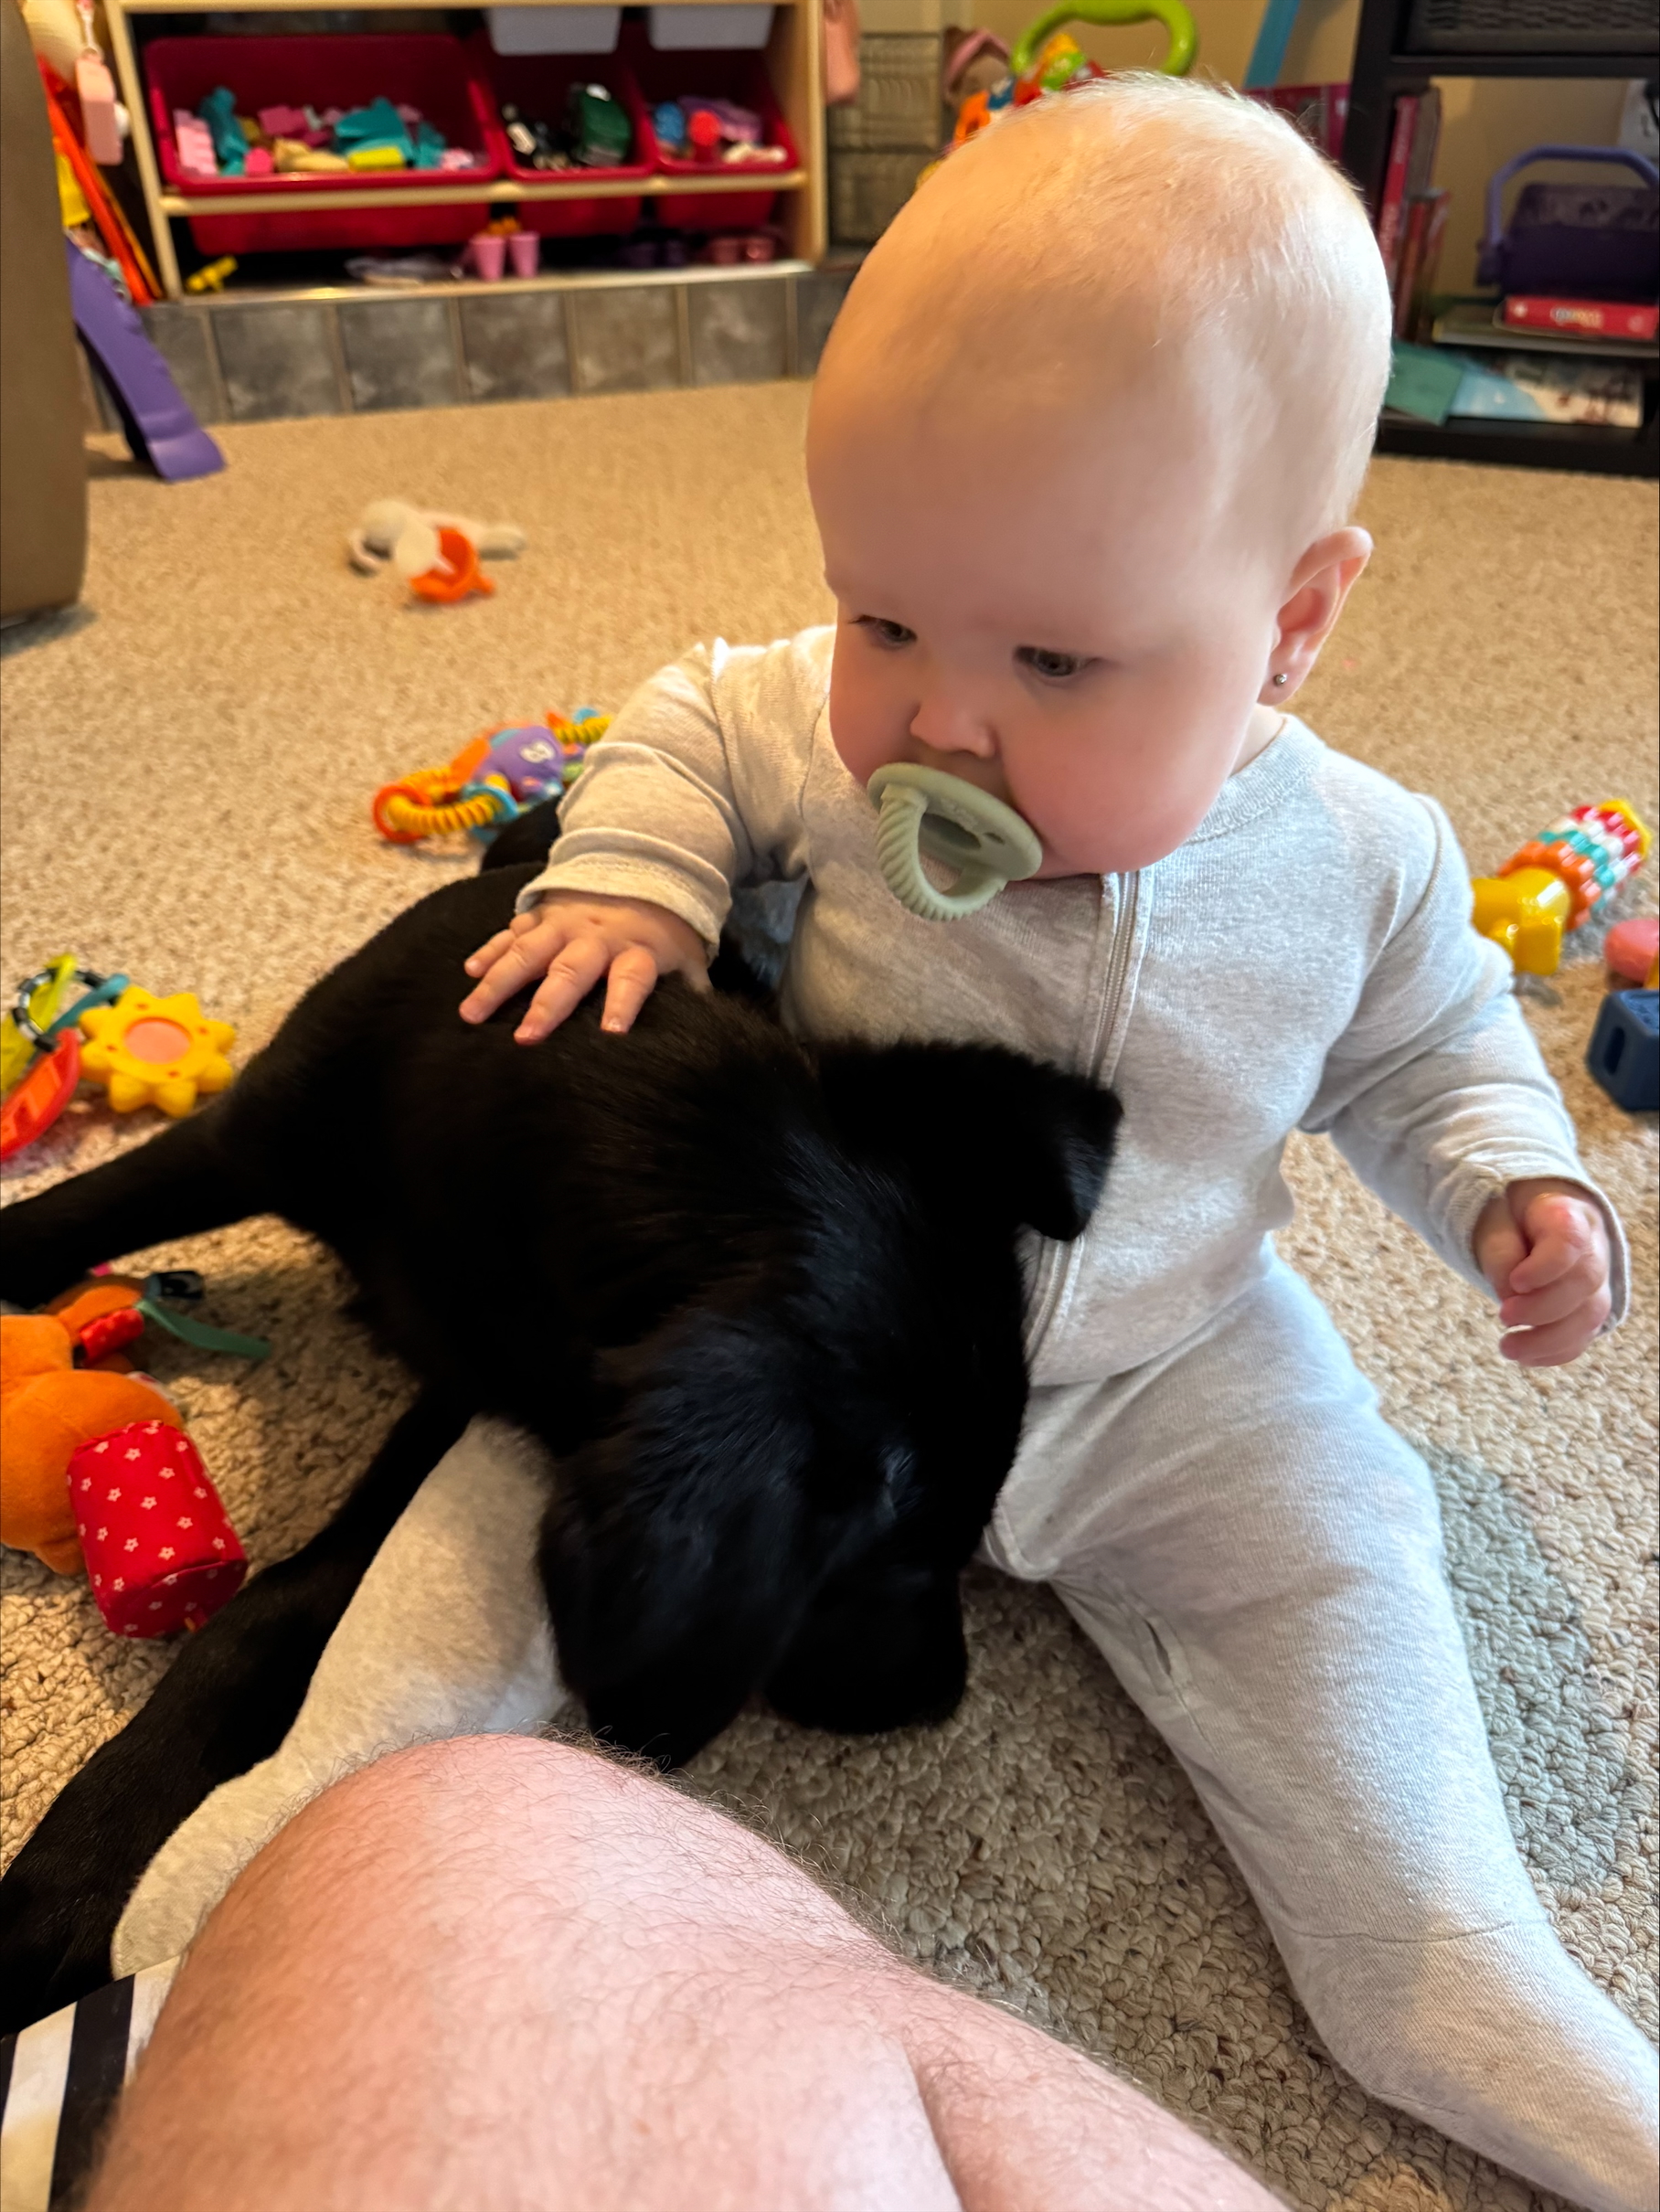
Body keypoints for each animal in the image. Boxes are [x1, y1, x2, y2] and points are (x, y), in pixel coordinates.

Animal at [0, 807, 1119, 2026]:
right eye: (896, 1555)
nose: (941, 1695)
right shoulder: (250, 1141)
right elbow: (65, 1212)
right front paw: (75, 1868)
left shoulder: (491, 1383)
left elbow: (286, 1595)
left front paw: (86, 1862)